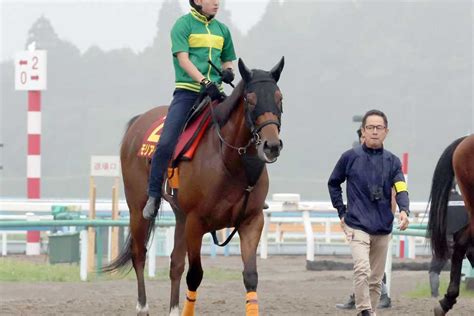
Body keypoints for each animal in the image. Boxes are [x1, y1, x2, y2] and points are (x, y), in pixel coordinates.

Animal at [103, 57, 286, 316]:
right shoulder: (195, 222)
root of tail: (138, 121)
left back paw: (173, 310)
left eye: (280, 98)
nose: (272, 145)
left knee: (175, 264)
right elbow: (195, 275)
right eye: (250, 100)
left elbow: (250, 276)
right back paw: (142, 307)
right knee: (139, 254)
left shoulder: (252, 221)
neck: (229, 162)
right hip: (138, 208)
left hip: (180, 215)